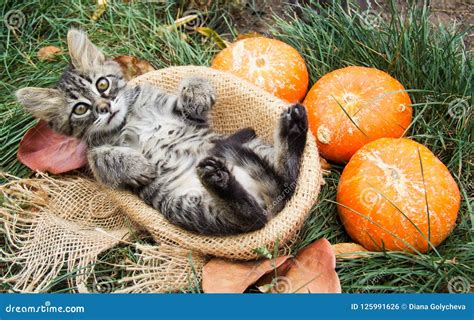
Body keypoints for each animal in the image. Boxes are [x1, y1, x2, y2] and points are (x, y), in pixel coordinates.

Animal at [16, 29, 308, 235]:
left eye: (102, 84)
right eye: (80, 109)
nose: (104, 107)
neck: (128, 119)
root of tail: (273, 202)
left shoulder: (190, 118)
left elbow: (193, 80)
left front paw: (196, 93)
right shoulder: (94, 150)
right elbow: (102, 158)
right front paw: (135, 165)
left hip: (250, 152)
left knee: (287, 176)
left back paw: (292, 131)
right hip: (186, 206)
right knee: (253, 216)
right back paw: (220, 180)